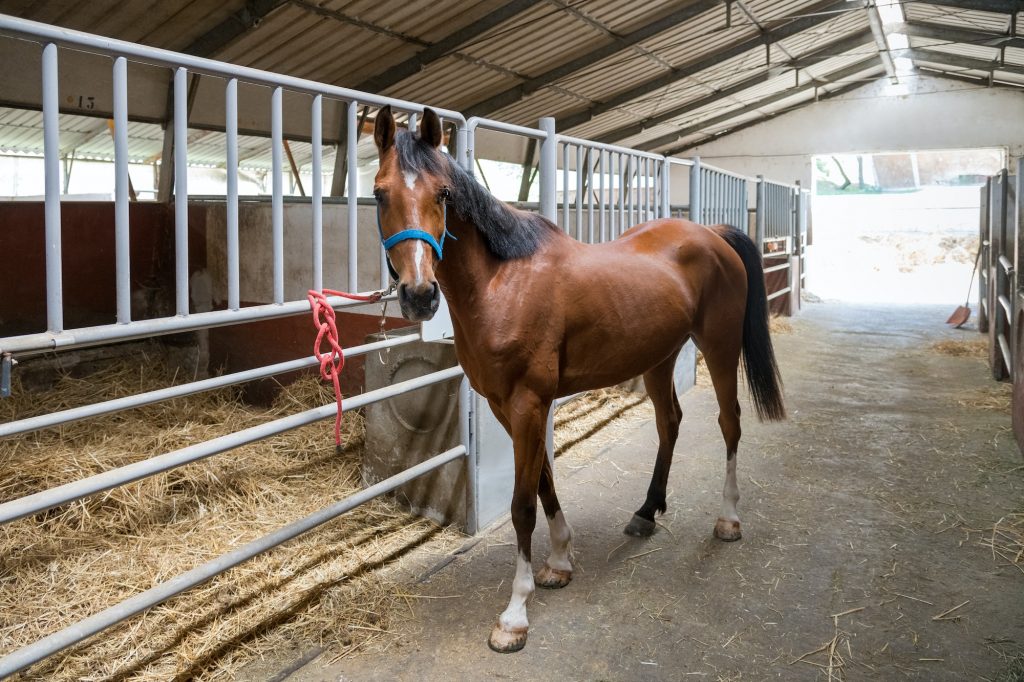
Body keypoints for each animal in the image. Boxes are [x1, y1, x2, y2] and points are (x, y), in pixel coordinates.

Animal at [376, 107, 782, 655]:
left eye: (442, 194)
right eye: (380, 194)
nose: (419, 294)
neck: (501, 283)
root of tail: (713, 234)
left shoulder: (528, 402)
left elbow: (522, 503)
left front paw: (515, 614)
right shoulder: (509, 406)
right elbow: (544, 479)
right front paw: (560, 562)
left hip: (718, 348)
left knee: (729, 422)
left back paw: (728, 520)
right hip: (658, 357)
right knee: (670, 422)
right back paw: (646, 512)